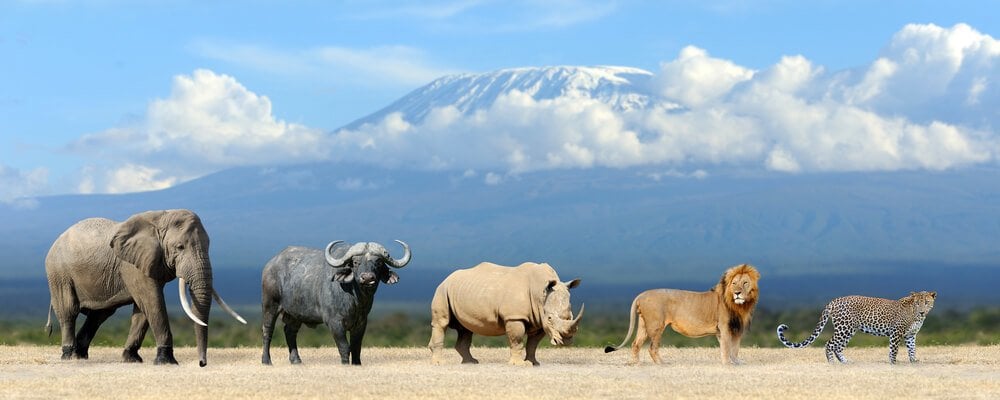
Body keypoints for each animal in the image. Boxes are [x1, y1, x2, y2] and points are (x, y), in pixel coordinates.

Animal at [45, 211, 250, 368]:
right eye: (180, 247)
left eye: (209, 246)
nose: (202, 364)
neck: (160, 218)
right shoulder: (132, 265)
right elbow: (152, 301)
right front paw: (166, 361)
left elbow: (143, 310)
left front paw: (131, 359)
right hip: (59, 273)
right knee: (69, 311)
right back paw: (68, 355)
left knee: (99, 315)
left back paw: (80, 355)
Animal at [604, 264, 760, 364]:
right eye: (734, 283)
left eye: (745, 283)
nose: (737, 293)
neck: (740, 306)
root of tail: (641, 294)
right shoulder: (725, 328)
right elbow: (728, 348)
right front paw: (727, 364)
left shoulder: (732, 330)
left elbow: (734, 348)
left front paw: (737, 363)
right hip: (656, 326)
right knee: (652, 348)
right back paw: (662, 364)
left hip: (644, 324)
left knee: (635, 344)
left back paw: (636, 364)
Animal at [772, 290, 936, 362]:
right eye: (917, 303)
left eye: (926, 302)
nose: (922, 311)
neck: (916, 315)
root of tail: (835, 300)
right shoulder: (896, 332)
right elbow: (894, 350)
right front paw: (893, 363)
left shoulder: (910, 335)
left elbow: (912, 349)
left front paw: (914, 361)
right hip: (845, 328)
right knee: (829, 344)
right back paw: (832, 362)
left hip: (849, 330)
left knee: (838, 346)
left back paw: (844, 361)